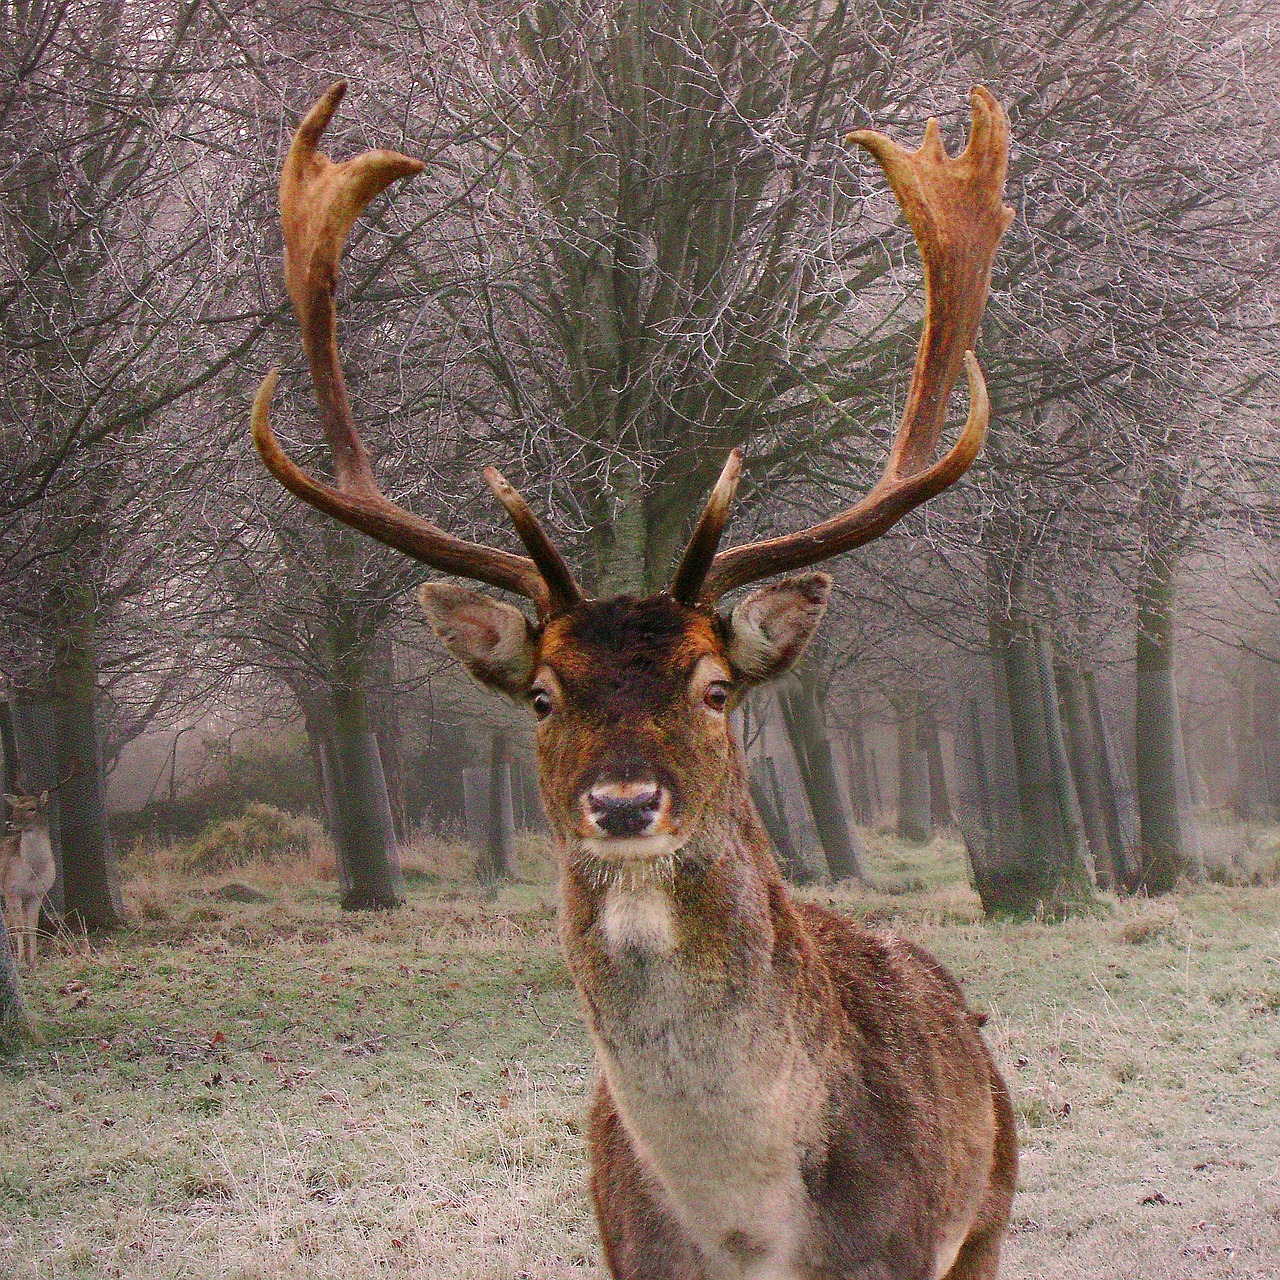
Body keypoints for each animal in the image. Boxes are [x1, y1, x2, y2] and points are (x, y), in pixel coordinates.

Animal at [254, 82, 1018, 1280]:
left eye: (714, 688)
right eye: (540, 694)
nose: (621, 801)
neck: (747, 1229)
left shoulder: (899, 1248)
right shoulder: (625, 1249)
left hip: (989, 1208)